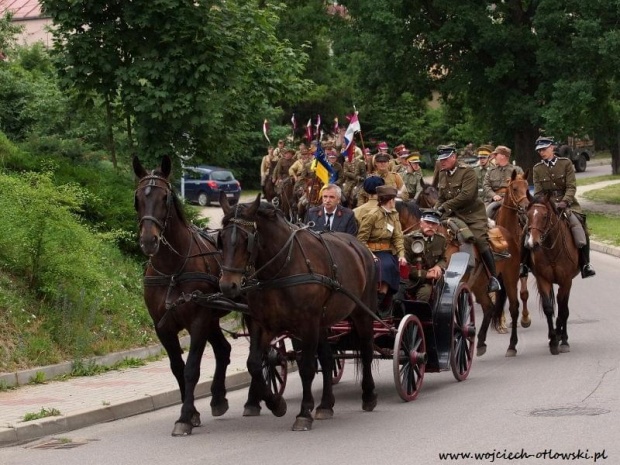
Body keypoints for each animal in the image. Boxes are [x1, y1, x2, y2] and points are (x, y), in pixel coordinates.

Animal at [132, 156, 234, 436]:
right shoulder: (162, 326)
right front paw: (193, 413)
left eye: (164, 197)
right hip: (212, 317)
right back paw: (218, 398)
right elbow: (177, 368)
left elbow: (191, 369)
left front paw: (185, 417)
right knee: (223, 349)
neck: (171, 270)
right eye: (137, 197)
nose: (149, 241)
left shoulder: (197, 321)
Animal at [217, 194, 378, 430]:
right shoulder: (262, 324)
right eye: (220, 239)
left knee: (366, 351)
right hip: (323, 321)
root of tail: (360, 247)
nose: (228, 286)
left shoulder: (307, 324)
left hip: (362, 313)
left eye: (246, 240)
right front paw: (276, 404)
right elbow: (255, 364)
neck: (280, 268)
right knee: (328, 358)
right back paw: (325, 405)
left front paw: (303, 412)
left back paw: (368, 395)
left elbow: (307, 367)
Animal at [524, 194, 580, 354]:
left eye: (544, 216)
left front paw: (563, 340)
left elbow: (563, 310)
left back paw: (563, 336)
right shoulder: (543, 280)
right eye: (528, 215)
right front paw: (553, 340)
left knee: (563, 307)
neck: (552, 250)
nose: (532, 243)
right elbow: (549, 309)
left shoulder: (566, 281)